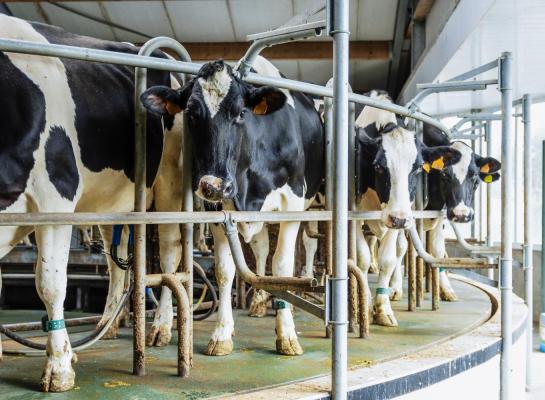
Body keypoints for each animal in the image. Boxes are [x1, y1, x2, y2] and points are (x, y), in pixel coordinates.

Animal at [0, 15, 185, 390]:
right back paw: (108, 324)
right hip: (112, 202)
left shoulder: (55, 196)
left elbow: (50, 284)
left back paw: (160, 326)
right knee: (118, 264)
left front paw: (58, 367)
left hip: (169, 183)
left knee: (169, 255)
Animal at [142, 55, 326, 356]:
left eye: (241, 113)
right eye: (191, 114)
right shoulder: (218, 211)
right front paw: (221, 334)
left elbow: (282, 265)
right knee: (260, 249)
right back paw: (259, 301)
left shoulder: (293, 202)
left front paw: (287, 335)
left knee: (305, 245)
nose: (214, 185)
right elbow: (225, 271)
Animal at [422, 125, 500, 300]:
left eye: (475, 176)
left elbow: (437, 250)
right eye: (444, 174)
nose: (461, 214)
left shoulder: (438, 215)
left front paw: (446, 289)